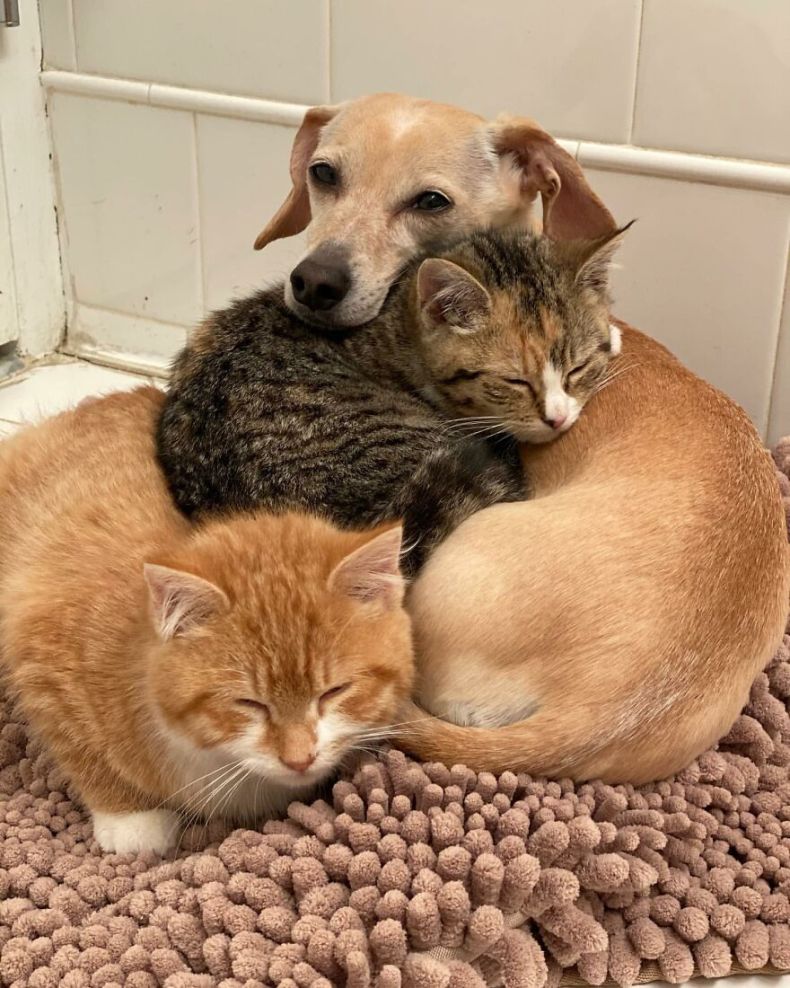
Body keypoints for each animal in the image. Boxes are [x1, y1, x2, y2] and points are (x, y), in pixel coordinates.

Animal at [0, 390, 418, 852]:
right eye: (249, 703)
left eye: (334, 691)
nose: (300, 758)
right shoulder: (40, 656)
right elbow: (82, 749)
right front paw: (130, 821)